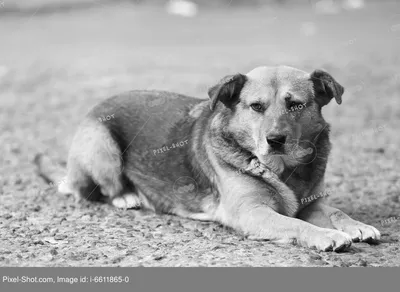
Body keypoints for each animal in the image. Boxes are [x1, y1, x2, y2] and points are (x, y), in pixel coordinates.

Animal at [36, 65, 382, 251]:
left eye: (296, 104)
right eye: (256, 106)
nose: (275, 140)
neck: (280, 170)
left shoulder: (313, 203)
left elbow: (337, 212)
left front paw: (357, 226)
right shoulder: (252, 213)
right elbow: (295, 224)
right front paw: (326, 235)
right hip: (102, 146)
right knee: (93, 191)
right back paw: (127, 197)